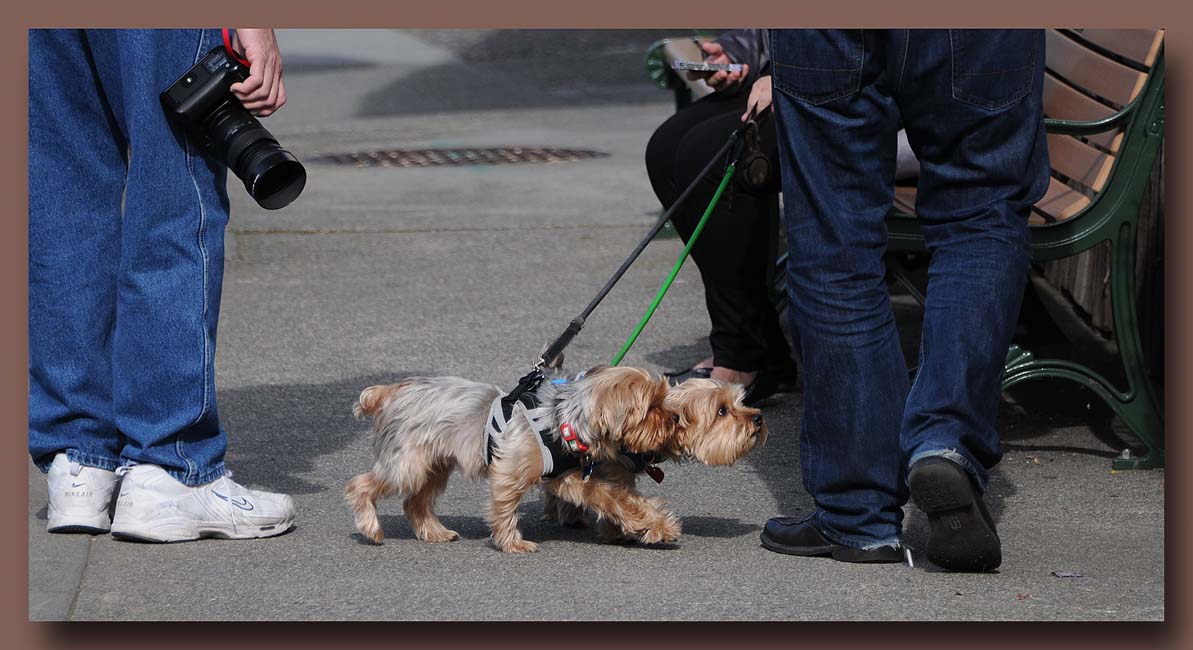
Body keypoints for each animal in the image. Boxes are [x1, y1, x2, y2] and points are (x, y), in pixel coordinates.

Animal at [348, 367, 763, 551]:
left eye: (741, 402)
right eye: (723, 410)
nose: (758, 418)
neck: (569, 421)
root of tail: (389, 392)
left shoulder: (577, 475)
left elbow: (616, 501)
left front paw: (621, 529)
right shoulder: (532, 473)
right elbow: (617, 500)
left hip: (433, 464)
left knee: (415, 502)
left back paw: (434, 532)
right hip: (408, 462)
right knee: (362, 485)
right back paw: (371, 527)